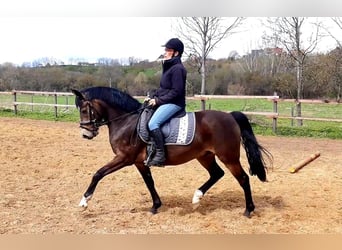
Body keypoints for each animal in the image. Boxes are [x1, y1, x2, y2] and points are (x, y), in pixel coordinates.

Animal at [71, 86, 272, 217]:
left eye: (84, 109)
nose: (86, 134)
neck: (126, 121)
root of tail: (230, 116)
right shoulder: (139, 162)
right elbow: (149, 182)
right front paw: (155, 206)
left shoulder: (124, 158)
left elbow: (98, 174)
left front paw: (84, 201)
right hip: (205, 156)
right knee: (217, 174)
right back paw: (197, 197)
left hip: (228, 157)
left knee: (243, 178)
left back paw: (248, 210)